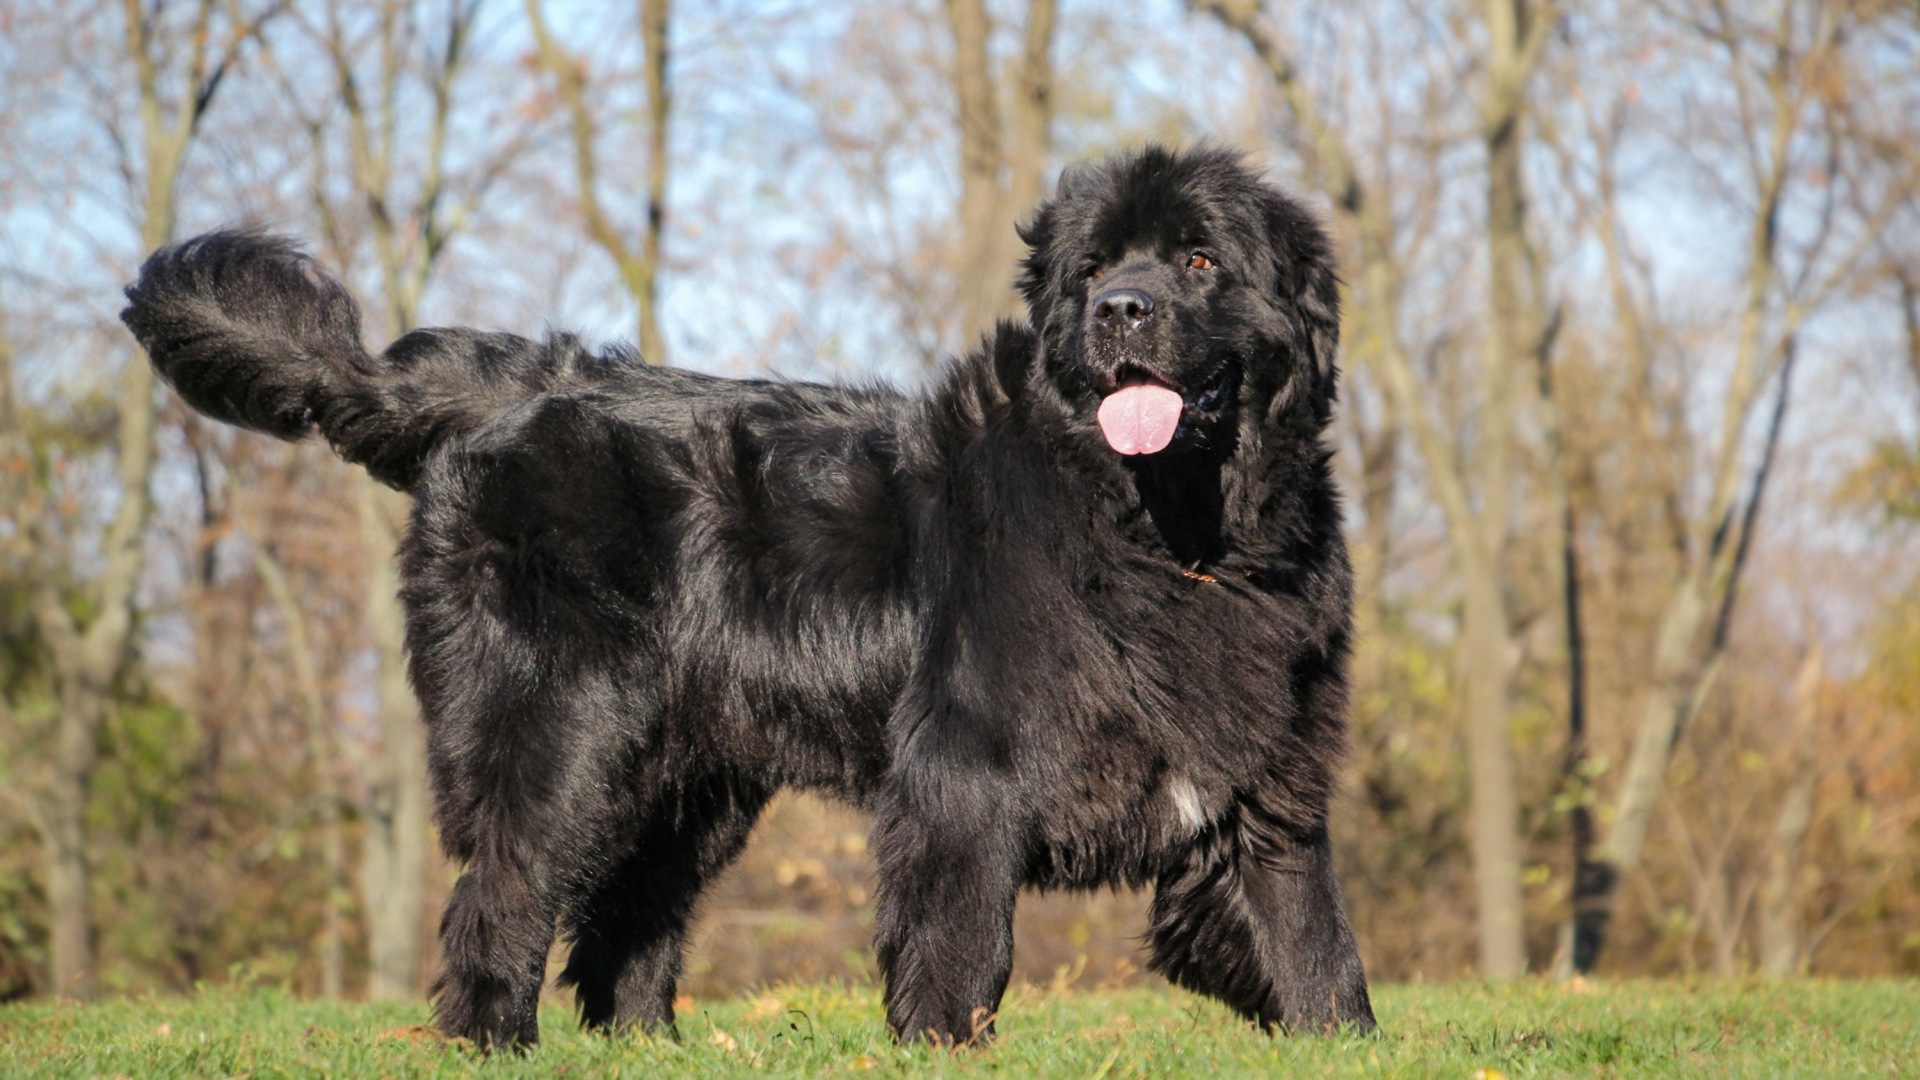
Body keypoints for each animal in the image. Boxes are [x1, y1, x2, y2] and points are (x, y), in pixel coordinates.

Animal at [120, 143, 1374, 1045]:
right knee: (505, 893)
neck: (1171, 535)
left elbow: (1314, 938)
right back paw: (491, 1041)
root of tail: (508, 387)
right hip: (564, 725)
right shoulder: (965, 771)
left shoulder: (1269, 773)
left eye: (1200, 262)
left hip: (692, 780)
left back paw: (650, 1048)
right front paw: (942, 1047)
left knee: (627, 926)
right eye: (1095, 271)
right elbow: (961, 944)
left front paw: (1341, 1040)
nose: (1121, 310)